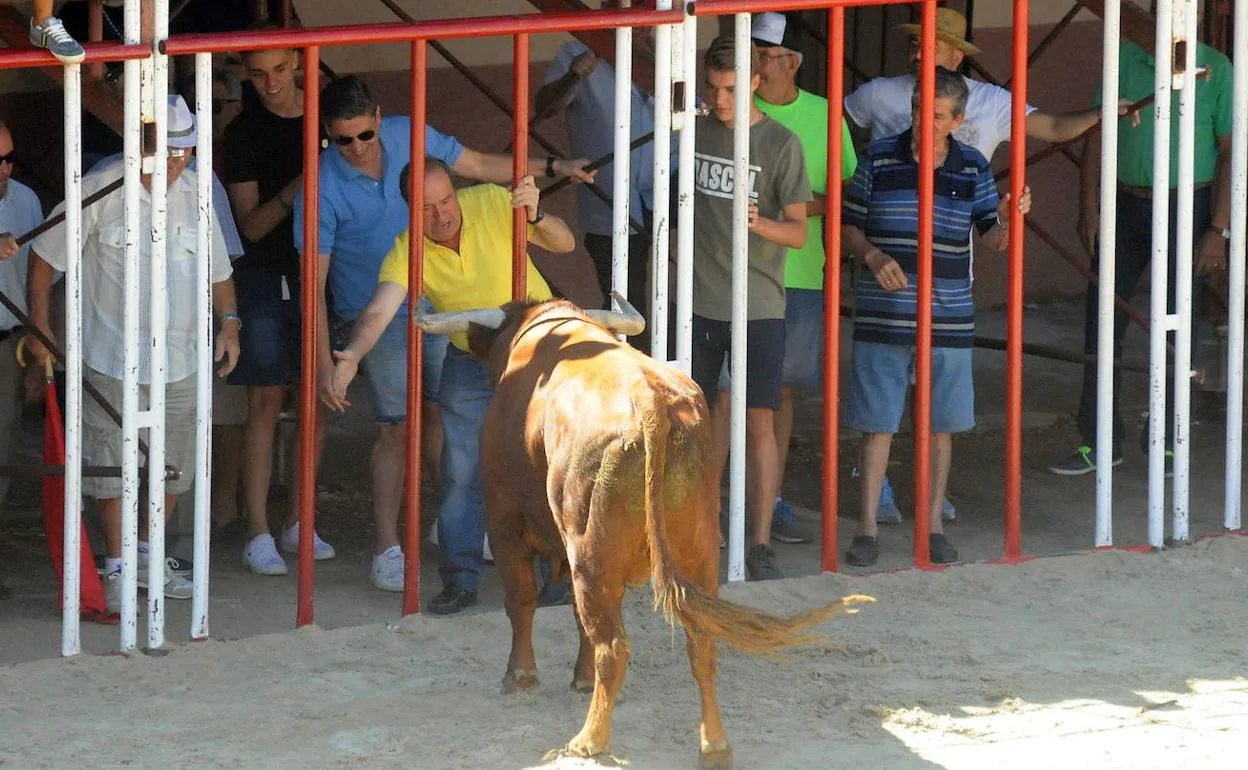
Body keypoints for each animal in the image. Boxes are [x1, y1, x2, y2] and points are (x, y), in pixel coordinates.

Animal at [414, 294, 873, 768]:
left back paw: (590, 741)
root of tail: (653, 406)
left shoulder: (505, 520)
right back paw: (714, 745)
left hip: (590, 555)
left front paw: (520, 676)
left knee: (613, 646)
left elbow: (522, 602)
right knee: (700, 642)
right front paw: (577, 679)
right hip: (695, 555)